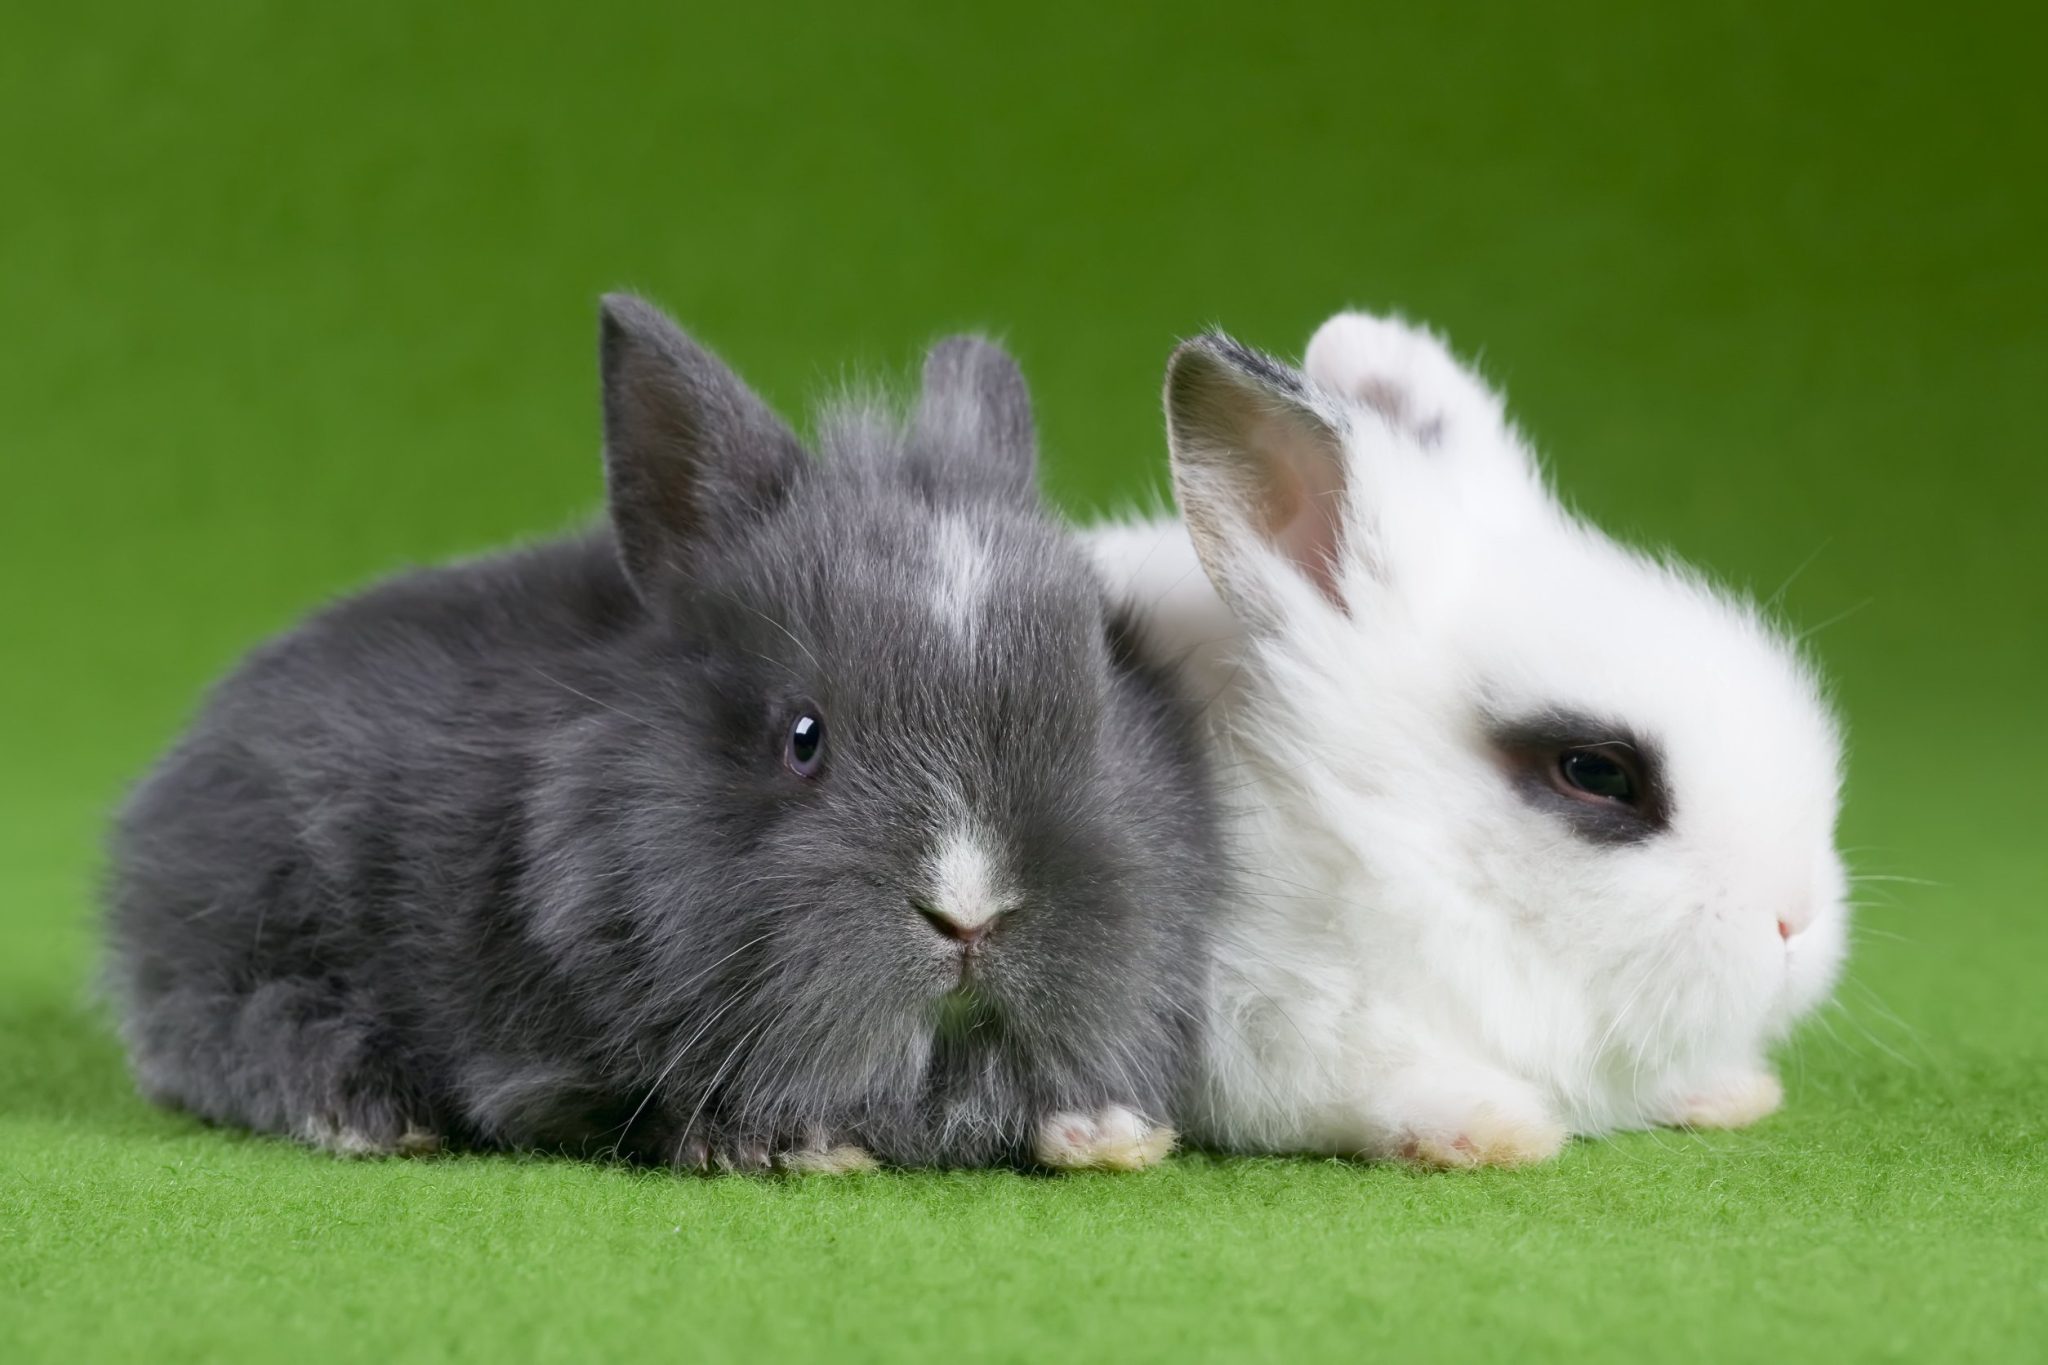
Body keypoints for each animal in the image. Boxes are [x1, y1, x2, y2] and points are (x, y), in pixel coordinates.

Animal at [104, 294, 1222, 1174]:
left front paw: (1111, 1135)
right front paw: (791, 1147)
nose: (970, 912)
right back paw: (369, 1116)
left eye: (1096, 709)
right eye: (803, 736)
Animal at [1088, 311, 1848, 1166]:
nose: (1796, 920)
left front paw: (1732, 1093)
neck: (1350, 825)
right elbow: (1359, 1080)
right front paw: (1495, 1128)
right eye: (1597, 771)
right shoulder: (1270, 1020)